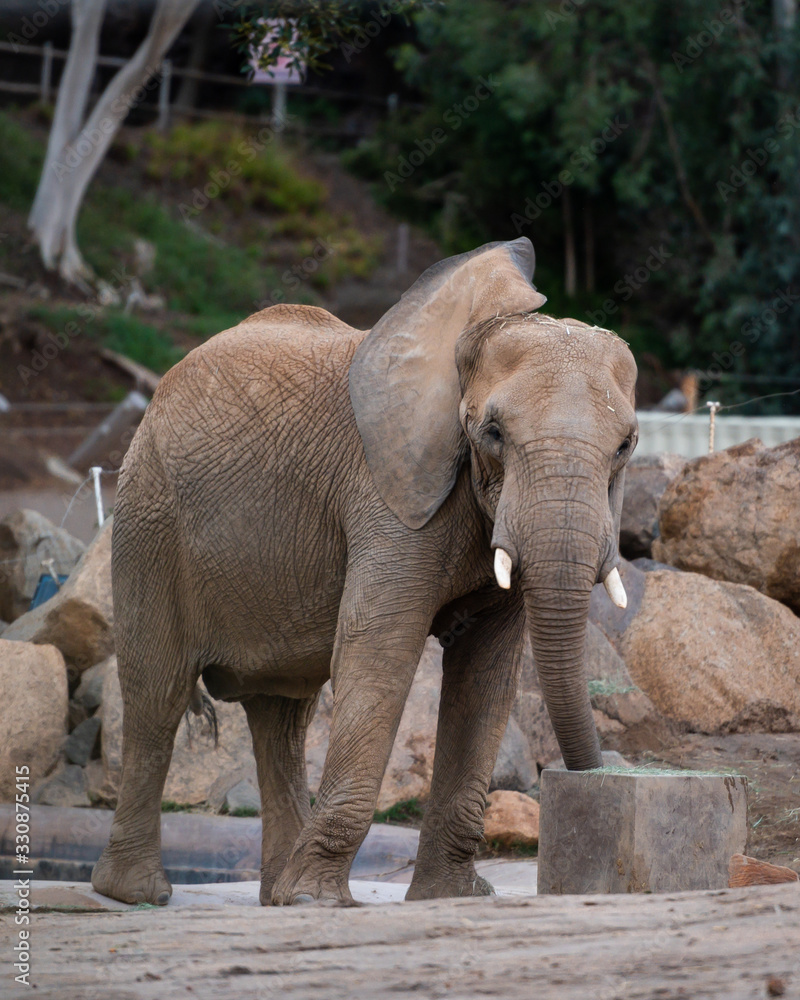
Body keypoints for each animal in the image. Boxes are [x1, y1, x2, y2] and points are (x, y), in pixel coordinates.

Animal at [91, 237, 637, 907]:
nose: (597, 775)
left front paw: (452, 898)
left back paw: (274, 897)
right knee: (157, 693)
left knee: (281, 712)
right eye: (493, 433)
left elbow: (485, 674)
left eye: (626, 446)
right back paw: (138, 893)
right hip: (148, 516)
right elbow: (381, 649)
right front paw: (319, 902)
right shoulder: (386, 496)